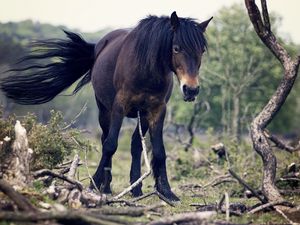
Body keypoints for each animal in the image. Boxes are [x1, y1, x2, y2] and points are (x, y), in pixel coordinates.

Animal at [0, 11, 211, 201]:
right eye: (176, 48)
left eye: (201, 51)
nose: (191, 89)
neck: (146, 70)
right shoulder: (119, 107)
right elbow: (110, 145)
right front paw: (93, 183)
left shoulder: (157, 110)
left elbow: (159, 151)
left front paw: (167, 191)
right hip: (104, 110)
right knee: (105, 139)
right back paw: (107, 186)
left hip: (141, 115)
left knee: (135, 145)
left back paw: (136, 188)